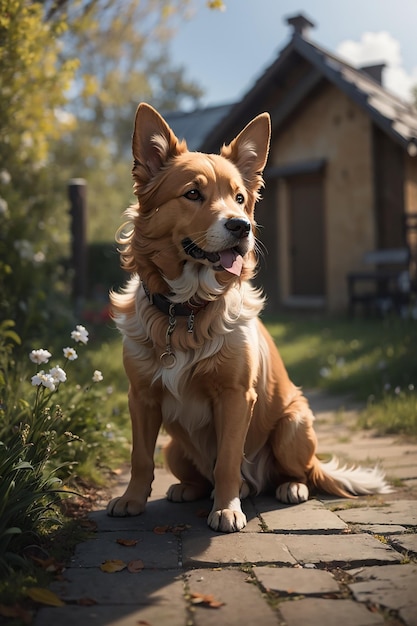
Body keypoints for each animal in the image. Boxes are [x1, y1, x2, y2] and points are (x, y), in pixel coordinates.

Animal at [106, 102, 390, 532]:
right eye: (193, 193)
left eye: (239, 198)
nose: (242, 226)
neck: (186, 312)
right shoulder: (141, 396)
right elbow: (140, 458)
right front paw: (132, 500)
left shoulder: (236, 396)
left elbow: (226, 461)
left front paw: (226, 509)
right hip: (173, 448)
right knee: (196, 476)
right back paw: (187, 489)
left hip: (293, 427)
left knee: (299, 473)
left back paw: (289, 487)